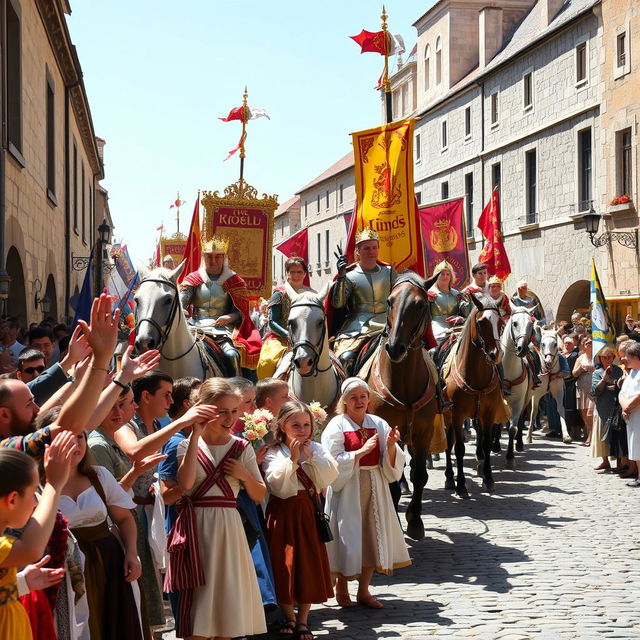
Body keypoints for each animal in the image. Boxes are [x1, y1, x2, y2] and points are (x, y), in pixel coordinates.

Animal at [360, 270, 444, 540]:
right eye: (390, 301)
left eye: (420, 304)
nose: (395, 347)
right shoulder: (387, 432)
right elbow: (392, 480)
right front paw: (396, 520)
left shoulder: (423, 433)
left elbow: (419, 475)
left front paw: (415, 520)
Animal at [442, 294, 508, 496]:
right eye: (481, 322)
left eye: (500, 322)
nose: (496, 354)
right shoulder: (457, 415)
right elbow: (459, 449)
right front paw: (461, 485)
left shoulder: (488, 414)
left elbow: (486, 444)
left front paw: (488, 478)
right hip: (446, 416)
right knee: (448, 442)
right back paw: (450, 478)